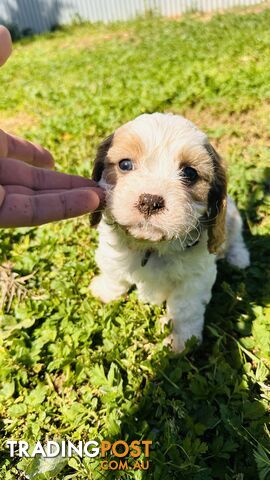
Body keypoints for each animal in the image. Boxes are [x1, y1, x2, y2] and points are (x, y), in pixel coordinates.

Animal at [89, 114, 250, 350]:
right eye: (125, 164)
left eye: (190, 173)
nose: (150, 201)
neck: (151, 246)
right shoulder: (112, 252)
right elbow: (113, 273)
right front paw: (105, 291)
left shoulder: (195, 278)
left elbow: (185, 310)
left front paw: (181, 341)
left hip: (232, 216)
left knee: (235, 236)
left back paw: (239, 258)